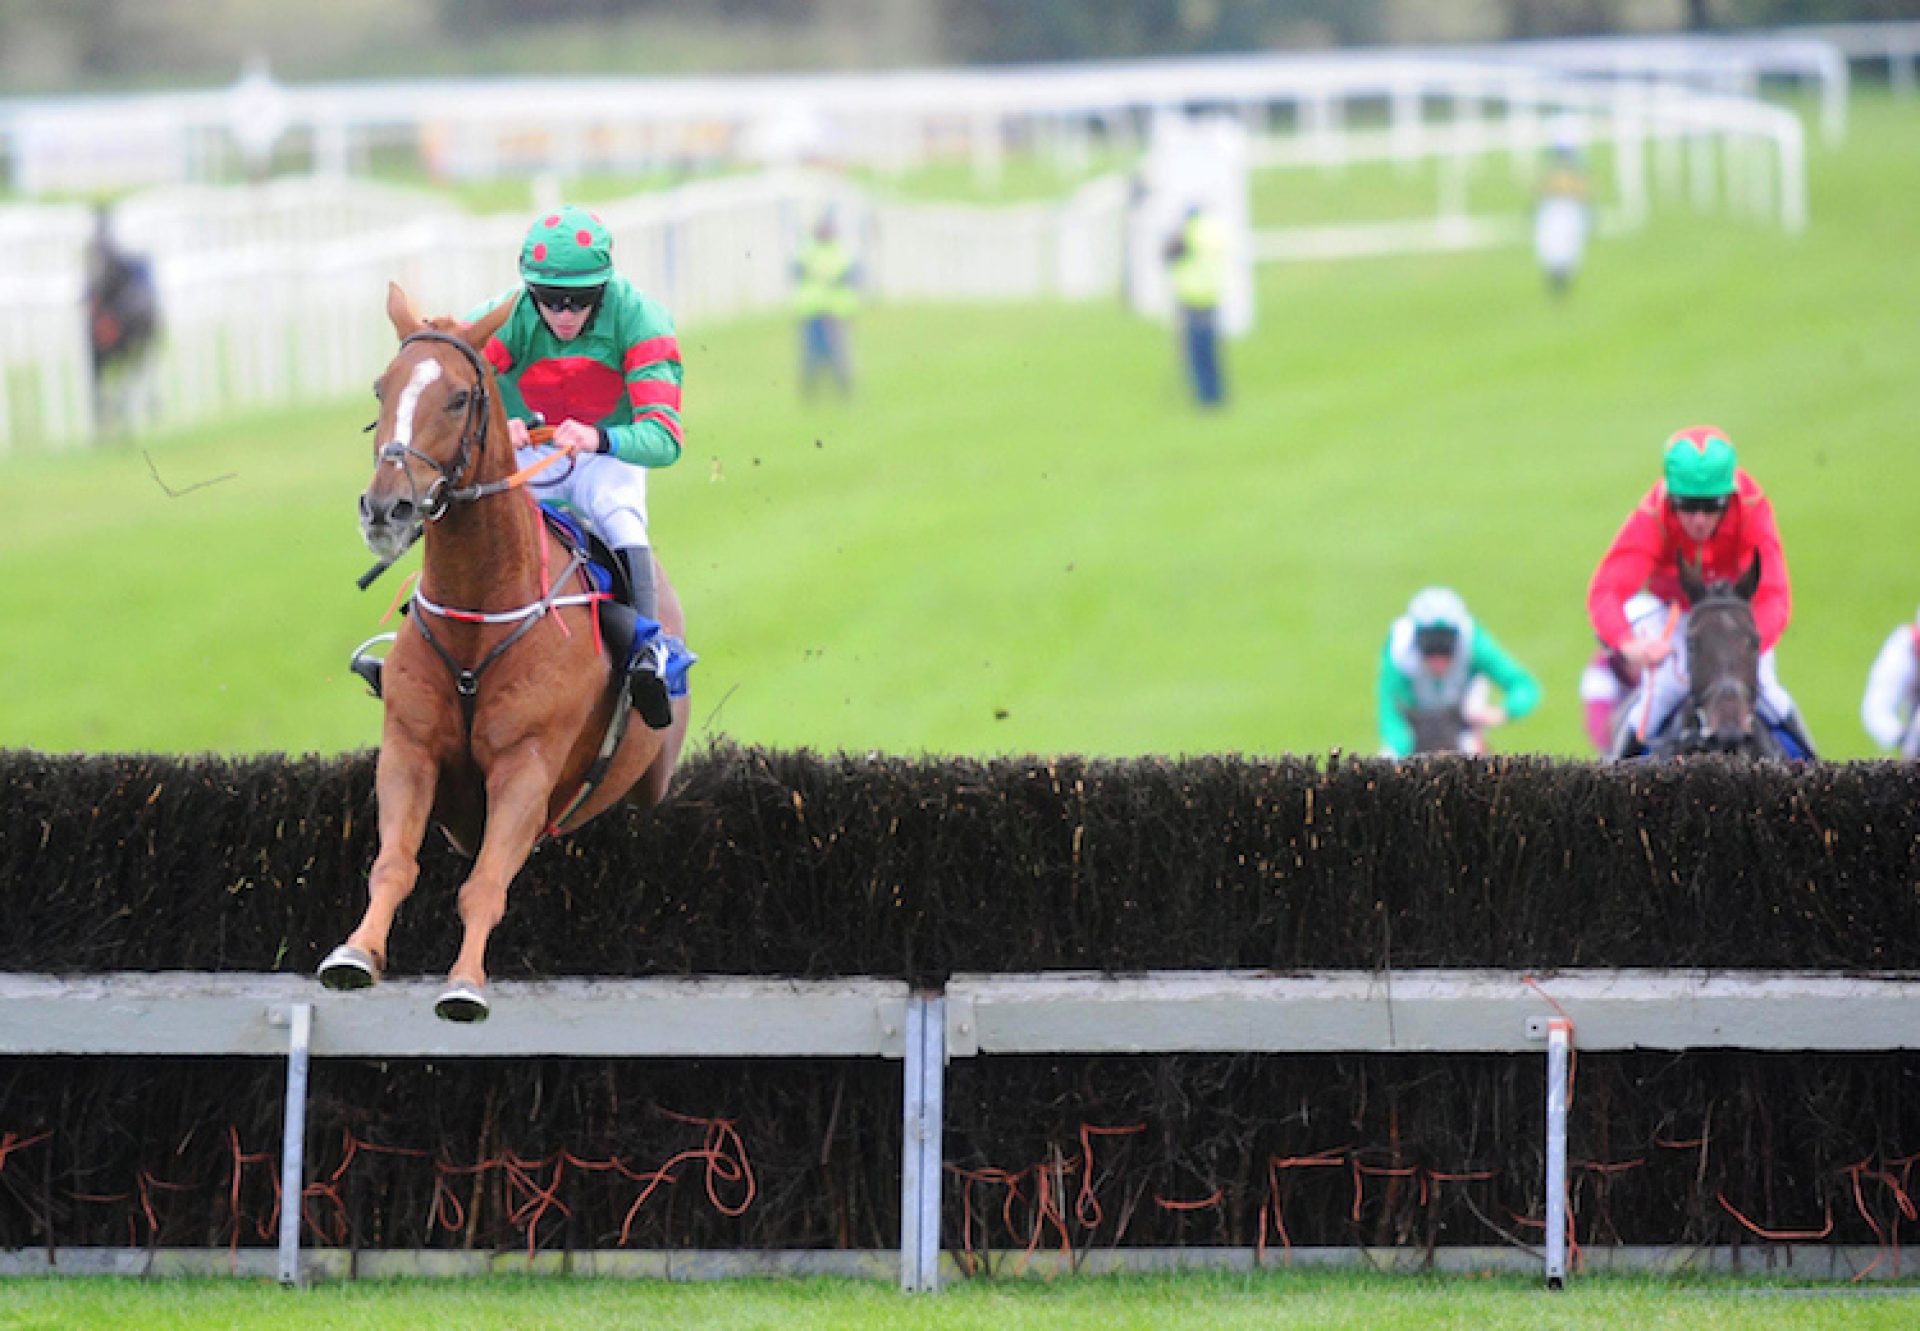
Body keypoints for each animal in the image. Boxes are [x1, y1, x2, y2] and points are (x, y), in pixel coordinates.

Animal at [320, 286, 691, 1021]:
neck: (480, 617)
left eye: (460, 396)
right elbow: (393, 863)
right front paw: (355, 952)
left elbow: (487, 880)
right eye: (381, 387)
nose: (386, 508)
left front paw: (464, 983)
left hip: (651, 772)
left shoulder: (528, 763)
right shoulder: (409, 747)